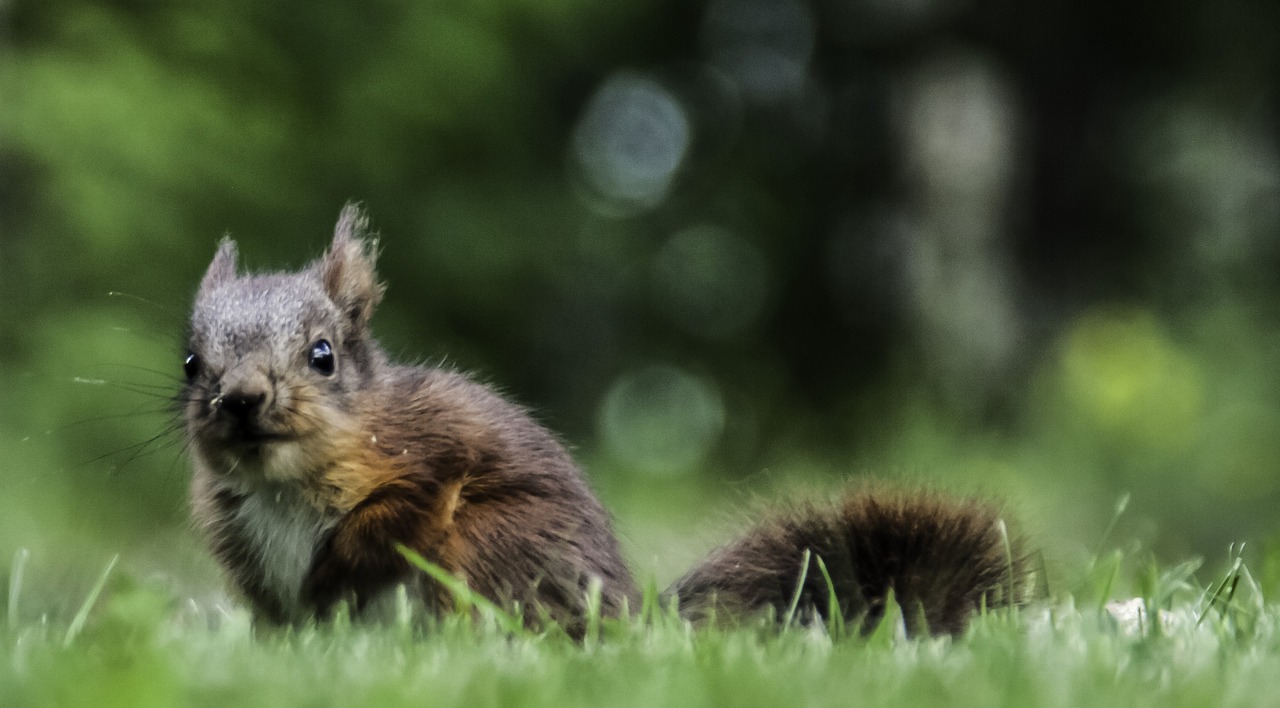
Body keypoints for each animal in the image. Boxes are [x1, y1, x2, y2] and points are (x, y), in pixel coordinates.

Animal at [185, 204, 1034, 635]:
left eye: (322, 355)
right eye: (192, 363)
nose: (242, 400)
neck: (286, 484)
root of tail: (629, 621)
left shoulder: (433, 456)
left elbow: (398, 515)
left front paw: (333, 570)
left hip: (495, 546)